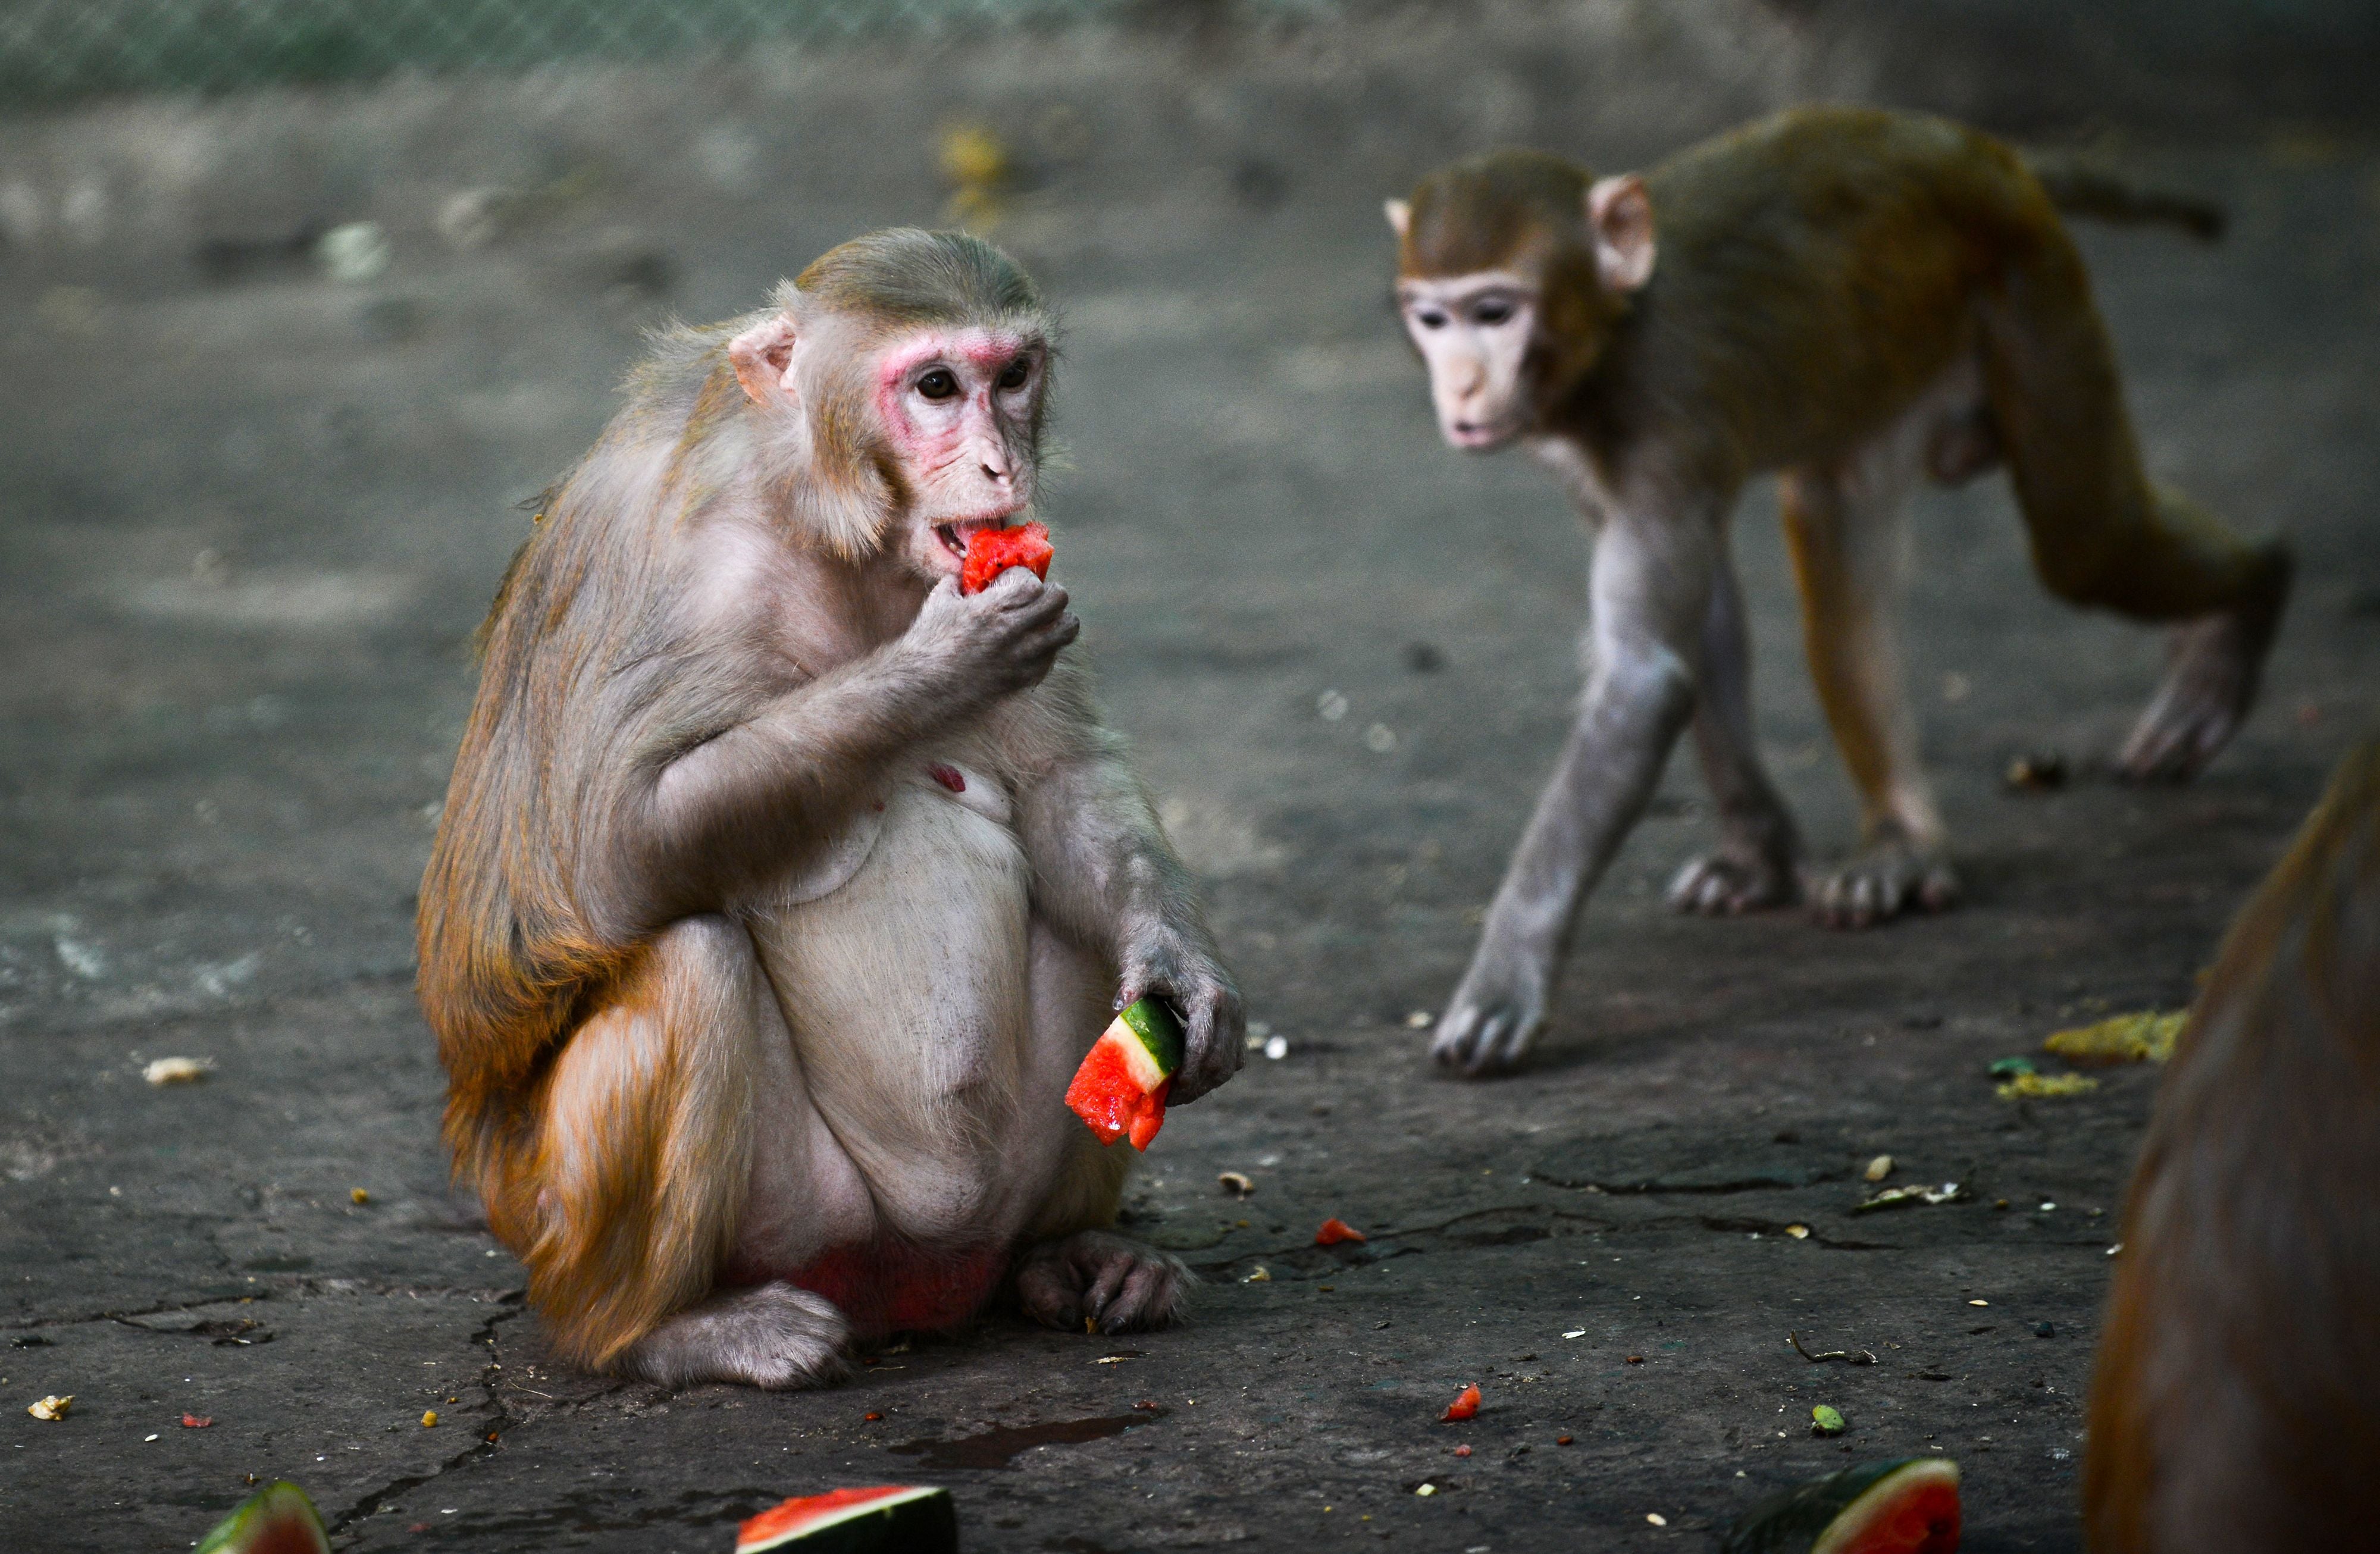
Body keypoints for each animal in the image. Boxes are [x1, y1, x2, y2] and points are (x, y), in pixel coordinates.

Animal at [419, 227, 1247, 1380]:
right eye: (936, 387)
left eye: (1013, 376)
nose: (1002, 464)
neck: (824, 520)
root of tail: (920, 1292)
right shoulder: (663, 560)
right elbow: (611, 854)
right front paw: (940, 669)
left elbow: (1066, 783)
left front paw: (1186, 973)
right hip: (726, 1222)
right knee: (691, 961)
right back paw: (663, 1332)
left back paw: (1073, 1257)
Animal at [1390, 103, 2294, 1071]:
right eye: (1432, 318)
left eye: (1495, 312)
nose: (1462, 389)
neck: (1612, 333)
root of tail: (1971, 148)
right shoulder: (1608, 465)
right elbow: (1702, 628)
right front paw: (1759, 854)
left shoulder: (1664, 422)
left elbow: (1643, 677)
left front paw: (1506, 976)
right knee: (1839, 521)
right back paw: (1903, 842)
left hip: (2032, 286)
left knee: (2087, 539)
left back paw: (2249, 602)